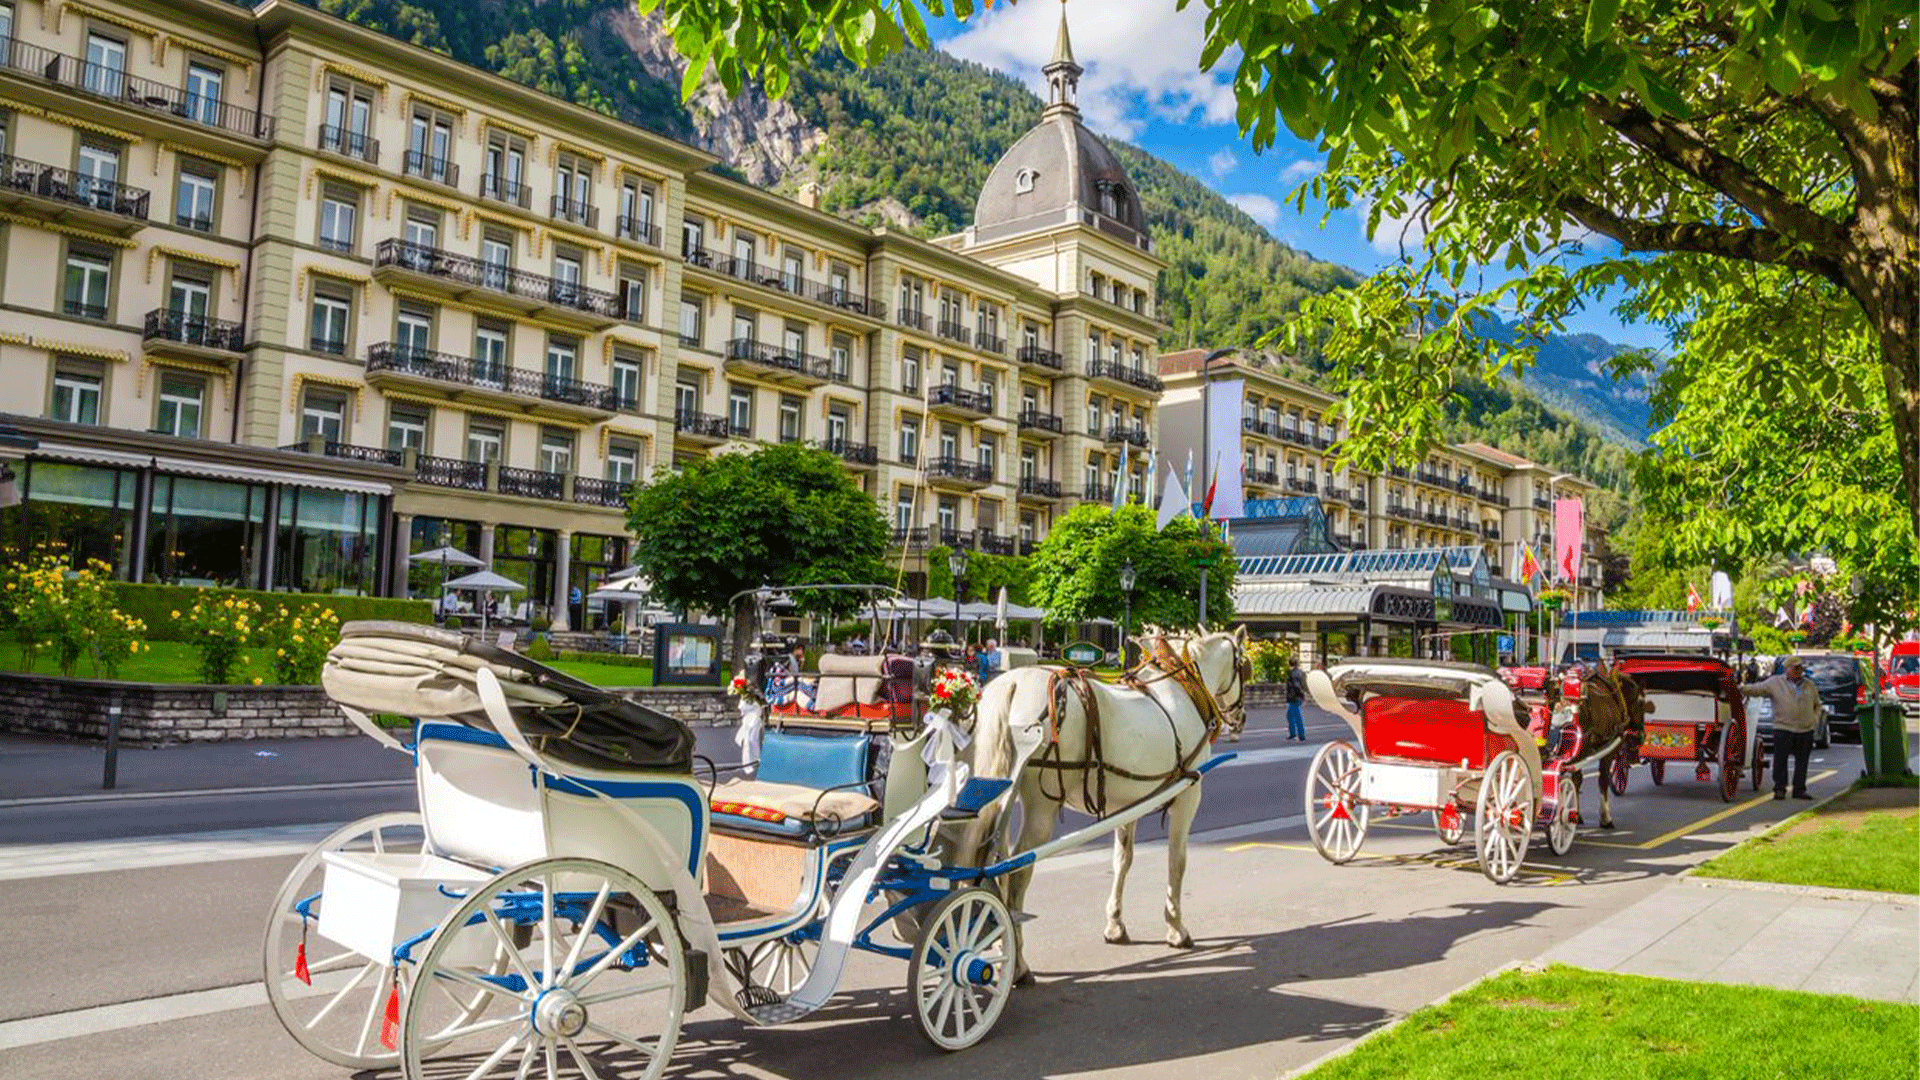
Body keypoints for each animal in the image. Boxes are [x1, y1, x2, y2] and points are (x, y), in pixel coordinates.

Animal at [952, 622, 1251, 976]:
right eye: (1245, 666)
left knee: (987, 859)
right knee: (1017, 868)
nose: (1241, 718)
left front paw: (1115, 925)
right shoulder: (1187, 796)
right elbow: (1176, 861)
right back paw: (1018, 962)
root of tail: (1012, 683)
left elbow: (1122, 860)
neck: (1184, 689)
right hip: (1041, 805)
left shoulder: (1130, 803)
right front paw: (1176, 928)